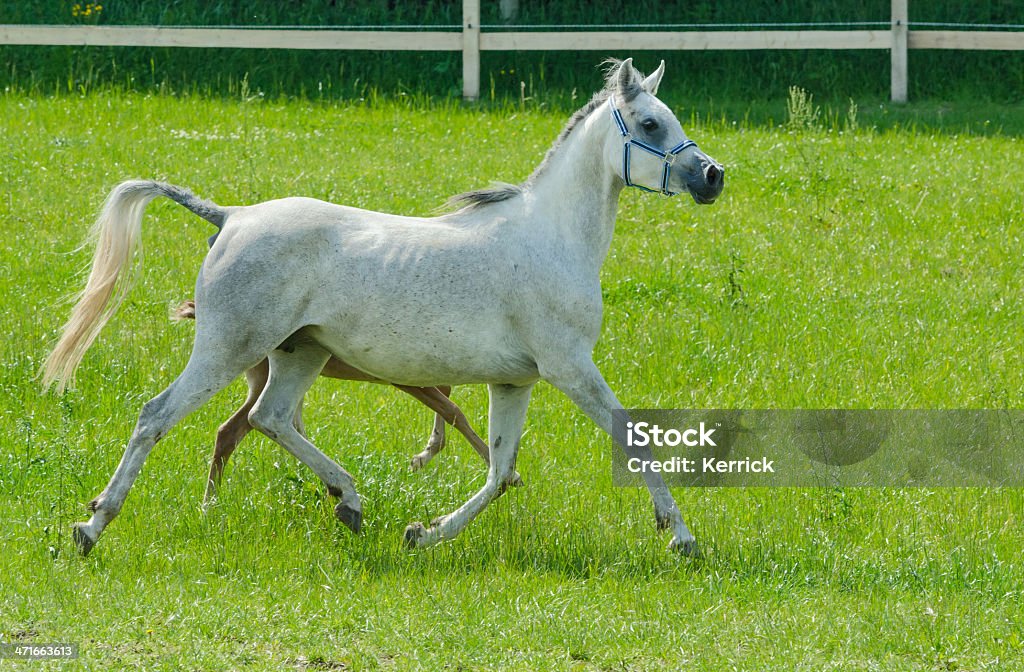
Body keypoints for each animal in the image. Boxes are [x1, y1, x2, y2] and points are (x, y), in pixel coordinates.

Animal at [44, 60, 724, 557]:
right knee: (157, 416)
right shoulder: (570, 368)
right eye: (649, 123)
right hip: (228, 348)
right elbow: (632, 440)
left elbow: (500, 472)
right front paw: (683, 537)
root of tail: (231, 216)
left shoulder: (514, 381)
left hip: (299, 354)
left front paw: (423, 533)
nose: (713, 177)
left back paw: (349, 501)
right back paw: (91, 527)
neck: (551, 240)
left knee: (269, 418)